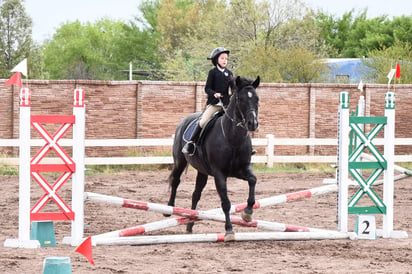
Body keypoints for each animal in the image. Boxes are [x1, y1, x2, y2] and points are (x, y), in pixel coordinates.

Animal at [165, 75, 260, 240]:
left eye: (257, 99)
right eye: (241, 99)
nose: (252, 123)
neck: (233, 139)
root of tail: (185, 120)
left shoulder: (241, 170)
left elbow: (253, 180)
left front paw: (247, 213)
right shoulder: (219, 174)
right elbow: (226, 203)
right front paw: (229, 230)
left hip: (202, 171)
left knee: (196, 195)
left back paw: (190, 224)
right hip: (180, 161)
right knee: (175, 181)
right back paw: (169, 208)